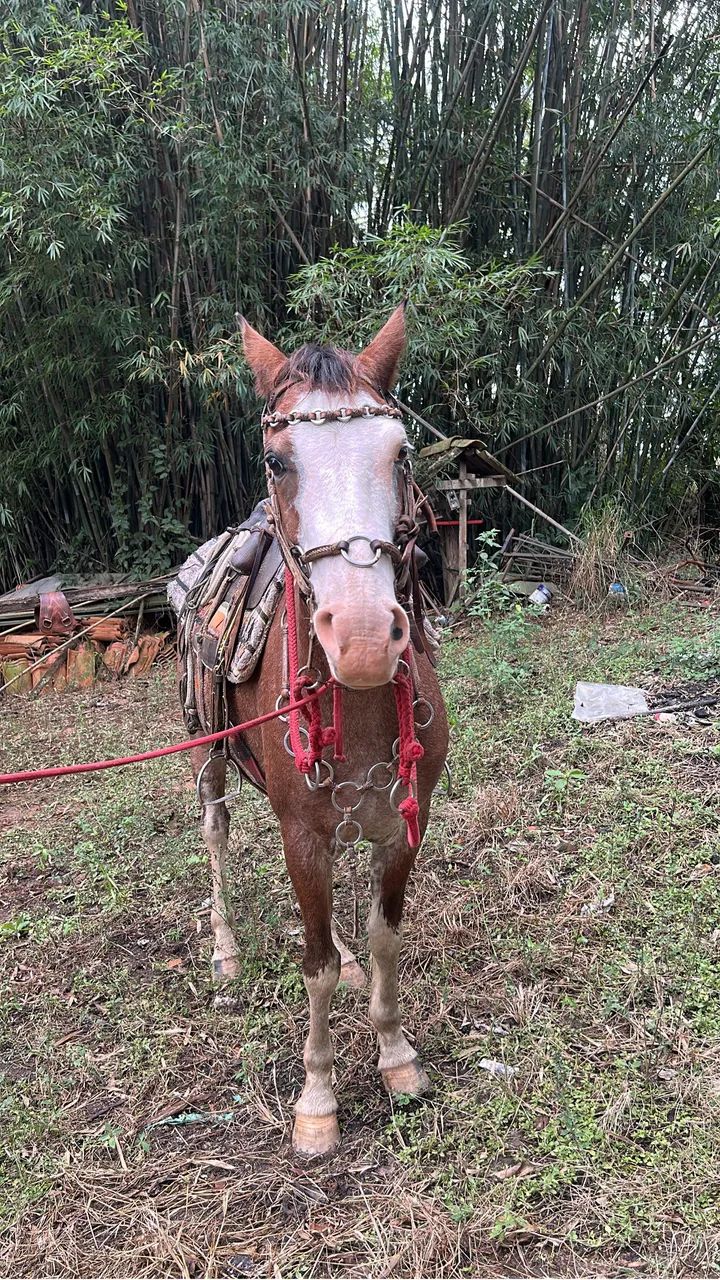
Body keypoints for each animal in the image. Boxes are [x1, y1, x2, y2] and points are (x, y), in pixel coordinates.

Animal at [187, 304, 449, 1156]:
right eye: (277, 460)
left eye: (400, 454)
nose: (363, 638)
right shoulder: (302, 833)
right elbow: (316, 966)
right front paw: (318, 1097)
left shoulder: (402, 824)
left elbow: (382, 940)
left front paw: (396, 1056)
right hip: (206, 753)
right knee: (215, 830)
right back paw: (226, 953)